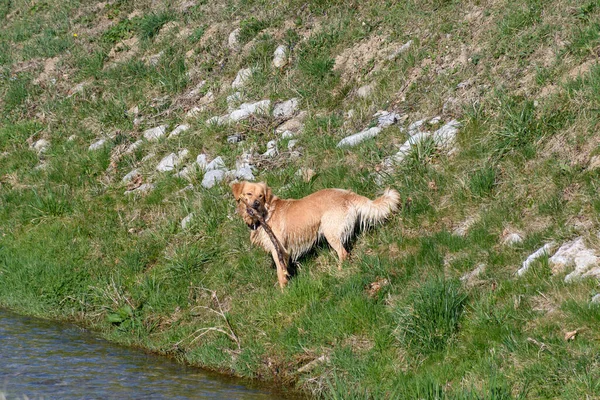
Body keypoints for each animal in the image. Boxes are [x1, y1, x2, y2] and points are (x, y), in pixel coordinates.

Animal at [232, 181, 400, 288]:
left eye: (261, 195)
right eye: (249, 193)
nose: (255, 204)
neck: (266, 213)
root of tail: (347, 194)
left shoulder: (277, 248)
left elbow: (280, 272)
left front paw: (283, 290)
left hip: (329, 231)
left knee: (343, 253)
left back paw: (339, 271)